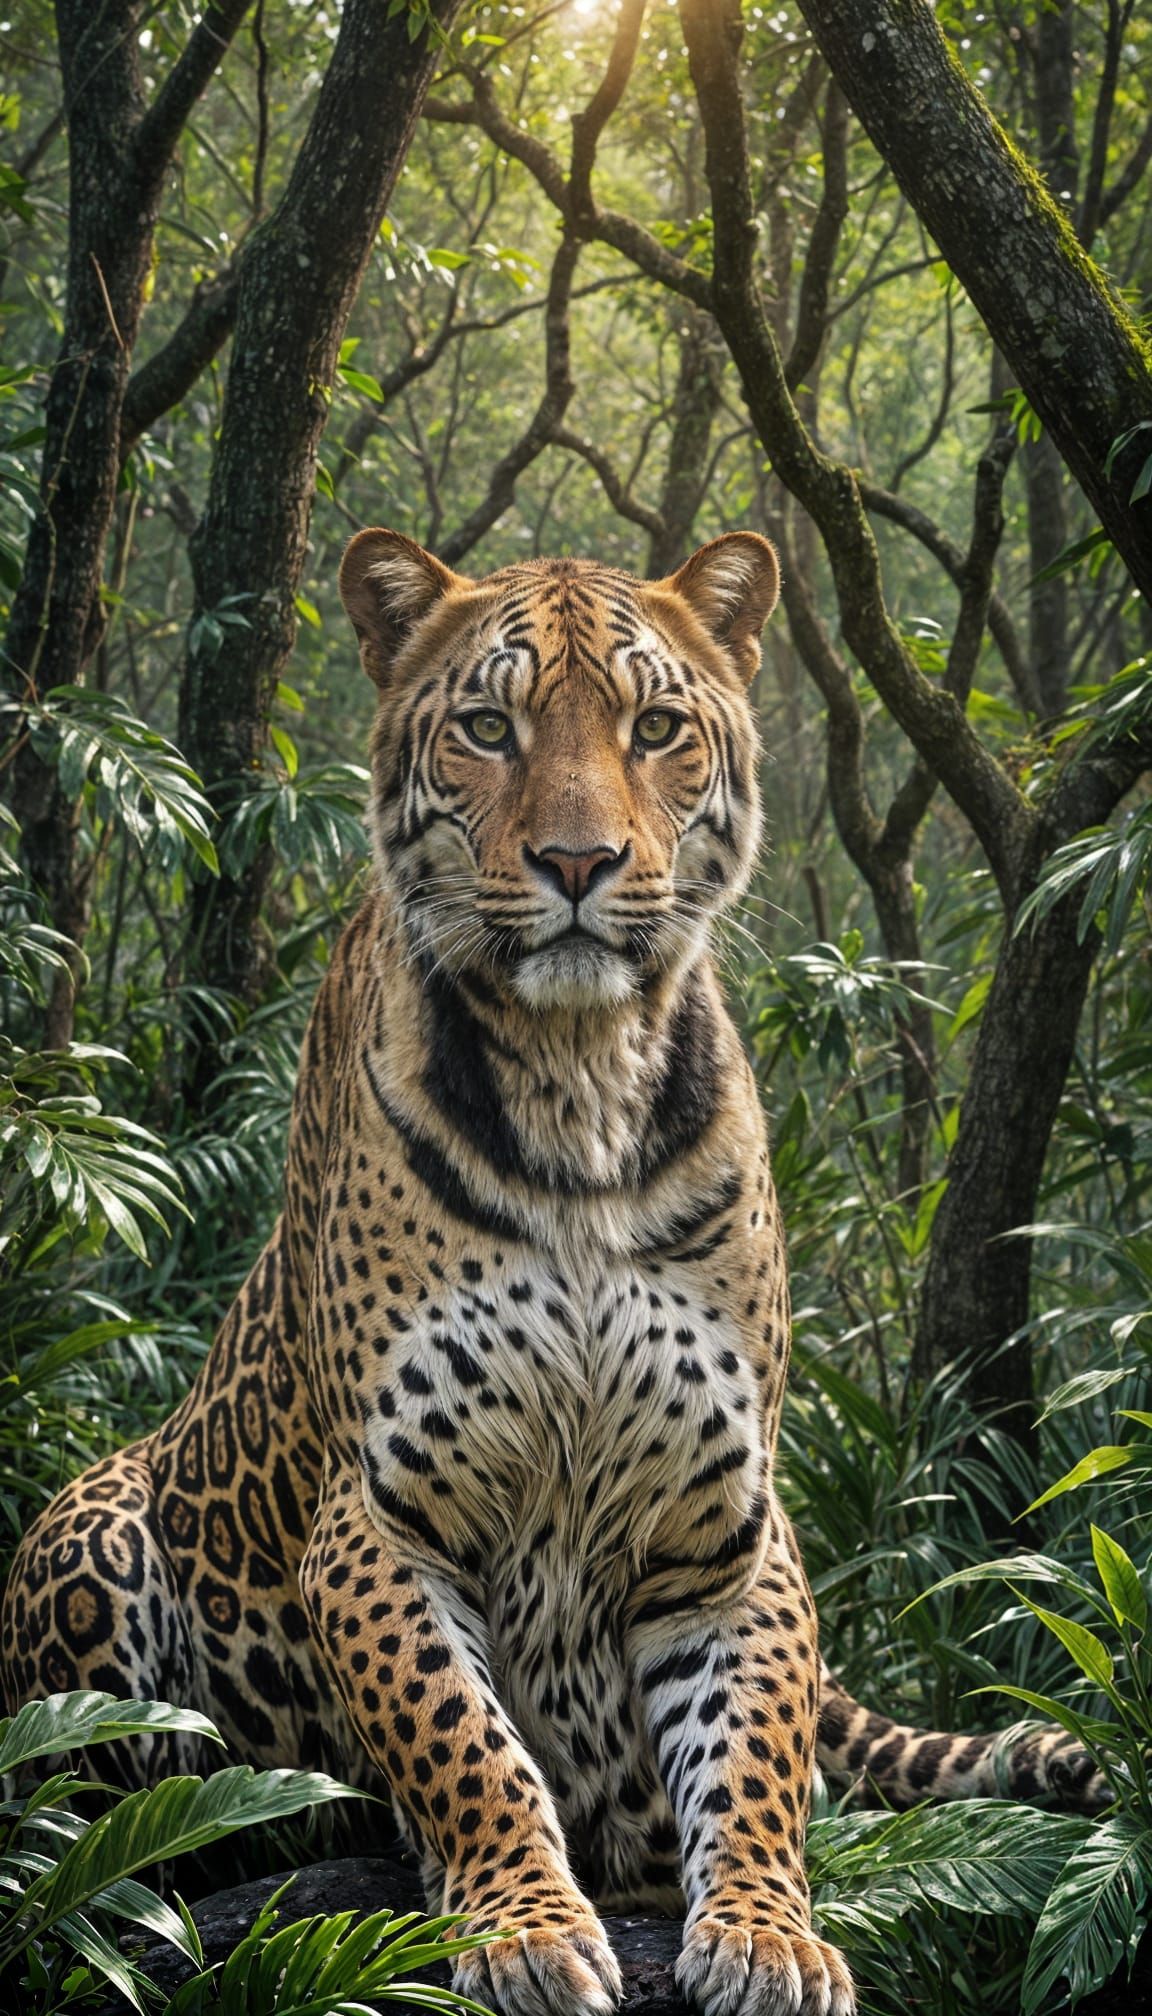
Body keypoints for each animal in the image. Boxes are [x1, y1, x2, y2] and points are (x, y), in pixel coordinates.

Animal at [2, 530, 1100, 2016]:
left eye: (657, 728)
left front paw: (766, 1931)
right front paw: (522, 1923)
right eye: (486, 728)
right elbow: (458, 1734)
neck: (581, 1088)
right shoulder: (381, 1520)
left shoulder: (727, 1530)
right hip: (89, 1530)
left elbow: (756, 1751)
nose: (579, 861)